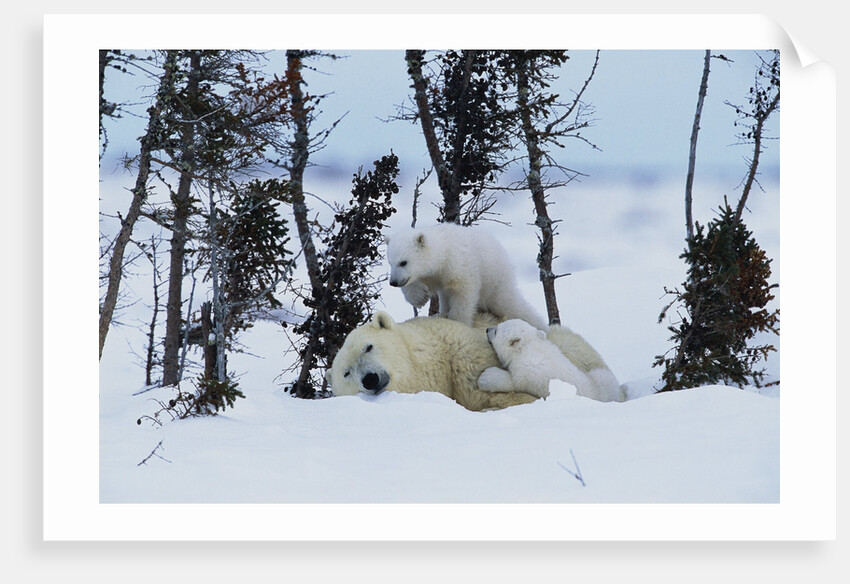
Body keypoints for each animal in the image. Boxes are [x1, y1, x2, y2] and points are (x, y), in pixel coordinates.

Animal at [385, 223, 548, 330]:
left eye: (403, 262)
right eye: (390, 262)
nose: (393, 282)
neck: (445, 252)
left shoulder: (458, 265)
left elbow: (462, 292)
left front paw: (458, 322)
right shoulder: (435, 274)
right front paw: (419, 297)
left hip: (495, 282)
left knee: (510, 305)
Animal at [478, 318, 626, 403]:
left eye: (496, 330)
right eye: (498, 324)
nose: (487, 329)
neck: (530, 347)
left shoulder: (532, 373)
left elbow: (516, 382)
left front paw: (485, 378)